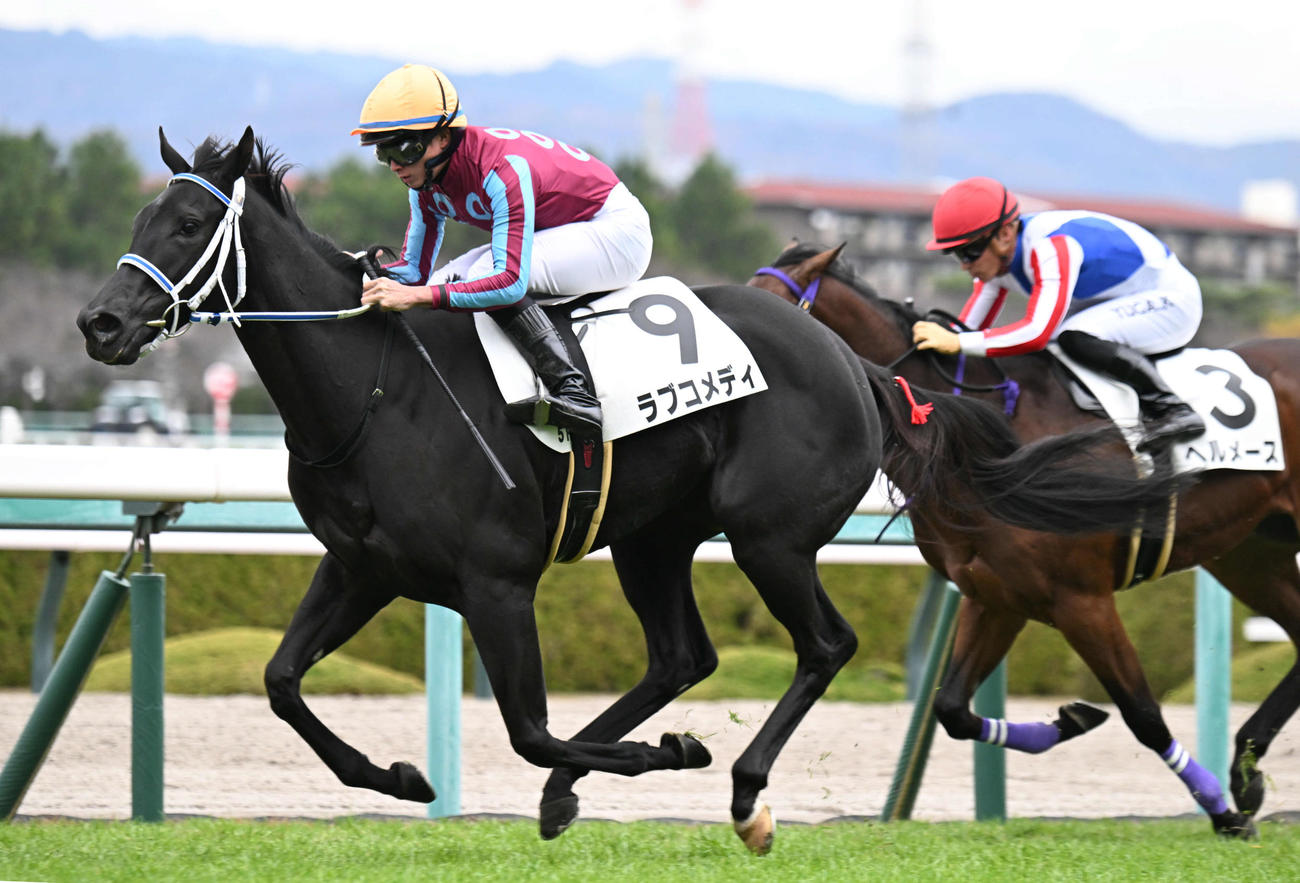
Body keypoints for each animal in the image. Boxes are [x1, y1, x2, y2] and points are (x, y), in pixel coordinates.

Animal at [76, 128, 1185, 853]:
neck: (374, 389)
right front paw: (397, 773)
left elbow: (527, 727)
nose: (99, 322)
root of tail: (855, 363)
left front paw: (669, 759)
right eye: (139, 212)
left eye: (189, 221)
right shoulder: (361, 568)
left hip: (768, 538)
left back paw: (740, 789)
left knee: (823, 645)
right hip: (655, 538)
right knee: (682, 654)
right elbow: (279, 681)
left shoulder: (496, 582)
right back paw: (589, 785)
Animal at [750, 241, 1300, 836]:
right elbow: (952, 707)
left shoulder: (1082, 599)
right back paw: (1247, 767)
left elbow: (1145, 716)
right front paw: (1072, 719)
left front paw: (1222, 812)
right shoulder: (995, 595)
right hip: (1252, 554)